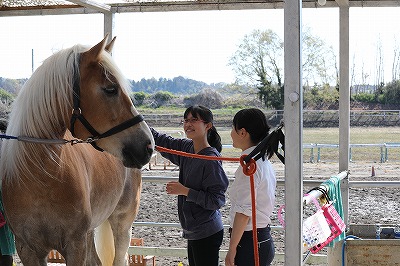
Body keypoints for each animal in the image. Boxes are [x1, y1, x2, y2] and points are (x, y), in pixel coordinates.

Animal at [0, 35, 155, 266]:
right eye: (111, 89)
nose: (148, 146)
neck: (41, 178)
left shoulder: (75, 245)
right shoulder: (28, 249)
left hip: (122, 224)